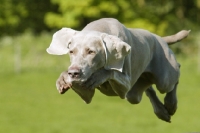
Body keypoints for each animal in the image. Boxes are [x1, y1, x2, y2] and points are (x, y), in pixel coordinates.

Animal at [46, 17, 189, 122]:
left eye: (91, 52)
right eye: (71, 51)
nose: (74, 73)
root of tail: (159, 38)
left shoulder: (125, 85)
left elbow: (111, 71)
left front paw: (98, 76)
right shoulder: (86, 93)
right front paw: (63, 80)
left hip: (164, 79)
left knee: (175, 76)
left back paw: (171, 104)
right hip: (133, 94)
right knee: (148, 90)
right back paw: (162, 112)